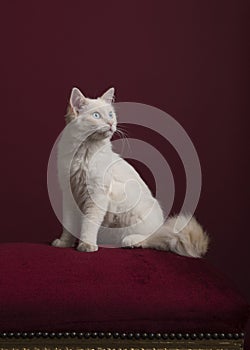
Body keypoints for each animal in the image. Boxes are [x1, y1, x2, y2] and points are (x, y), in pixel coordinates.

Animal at [51, 87, 209, 258]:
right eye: (96, 115)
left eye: (110, 114)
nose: (111, 123)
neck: (83, 152)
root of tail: (162, 228)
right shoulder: (69, 195)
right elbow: (68, 225)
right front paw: (64, 243)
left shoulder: (96, 196)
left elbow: (89, 224)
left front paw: (86, 244)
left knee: (150, 239)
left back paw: (130, 241)